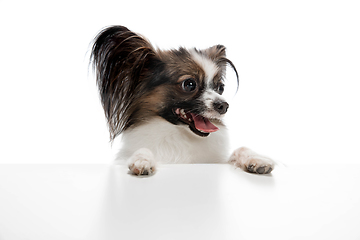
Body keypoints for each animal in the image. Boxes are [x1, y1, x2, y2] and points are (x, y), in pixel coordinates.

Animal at [91, 26, 274, 175]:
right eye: (189, 84)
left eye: (220, 88)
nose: (224, 106)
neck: (178, 134)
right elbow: (142, 150)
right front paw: (141, 160)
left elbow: (241, 149)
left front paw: (257, 159)